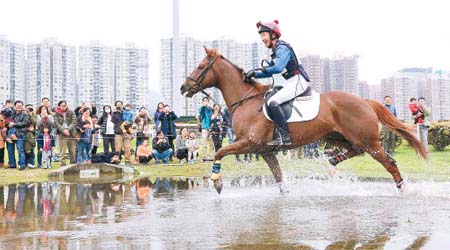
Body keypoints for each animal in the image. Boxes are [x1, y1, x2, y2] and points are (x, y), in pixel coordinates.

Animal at [180, 47, 426, 194]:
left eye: (200, 67)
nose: (183, 87)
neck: (246, 100)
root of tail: (365, 101)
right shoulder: (264, 150)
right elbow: (278, 177)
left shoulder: (249, 143)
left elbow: (220, 152)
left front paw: (217, 181)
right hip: (337, 137)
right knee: (354, 151)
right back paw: (333, 161)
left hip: (369, 142)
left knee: (389, 163)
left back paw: (402, 189)